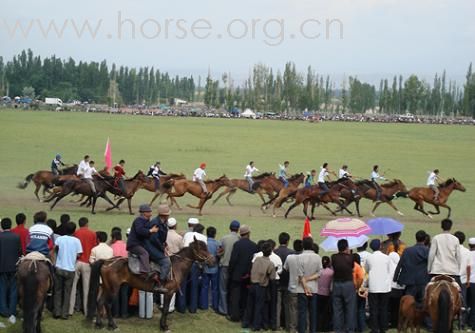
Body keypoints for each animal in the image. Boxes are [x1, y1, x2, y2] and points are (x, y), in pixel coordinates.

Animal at [88, 237, 216, 330]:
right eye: (202, 249)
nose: (213, 261)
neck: (176, 266)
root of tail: (107, 261)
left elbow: (165, 309)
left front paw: (162, 324)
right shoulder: (169, 293)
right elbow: (165, 309)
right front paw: (164, 326)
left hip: (106, 287)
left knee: (100, 302)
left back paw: (99, 324)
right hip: (113, 289)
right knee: (107, 304)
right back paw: (112, 325)